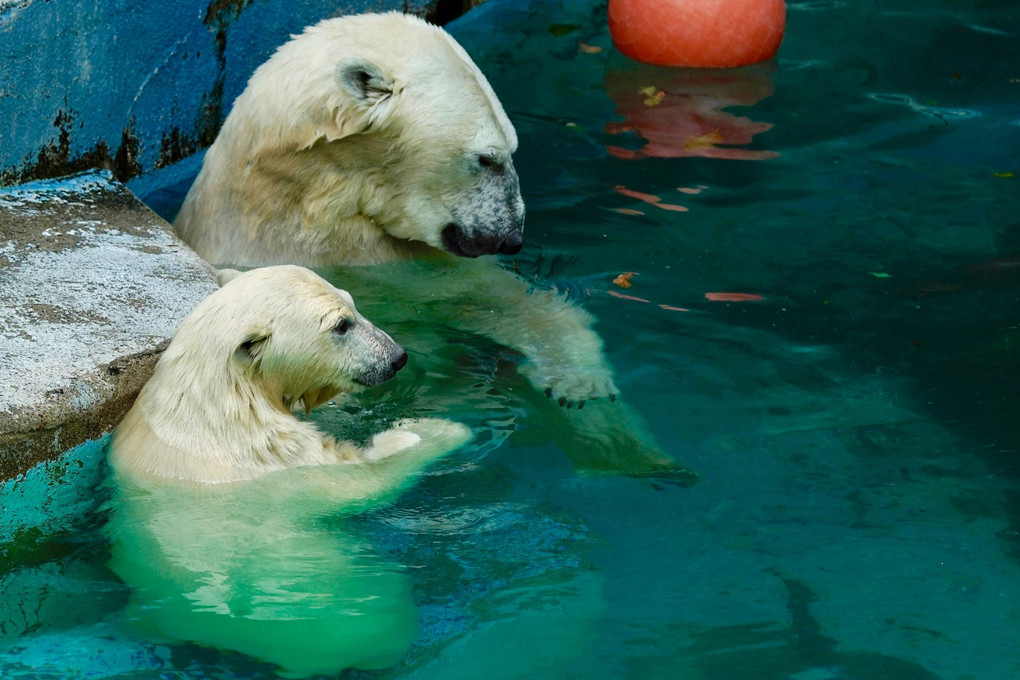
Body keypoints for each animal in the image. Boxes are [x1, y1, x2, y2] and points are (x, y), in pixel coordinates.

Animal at [105, 265, 471, 676]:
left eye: (353, 304)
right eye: (341, 325)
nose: (397, 358)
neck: (217, 397)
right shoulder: (269, 457)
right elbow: (359, 480)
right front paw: (435, 431)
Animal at [177, 10, 693, 479]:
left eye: (510, 150)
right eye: (486, 158)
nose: (512, 236)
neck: (309, 200)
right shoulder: (389, 266)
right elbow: (509, 304)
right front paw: (580, 384)